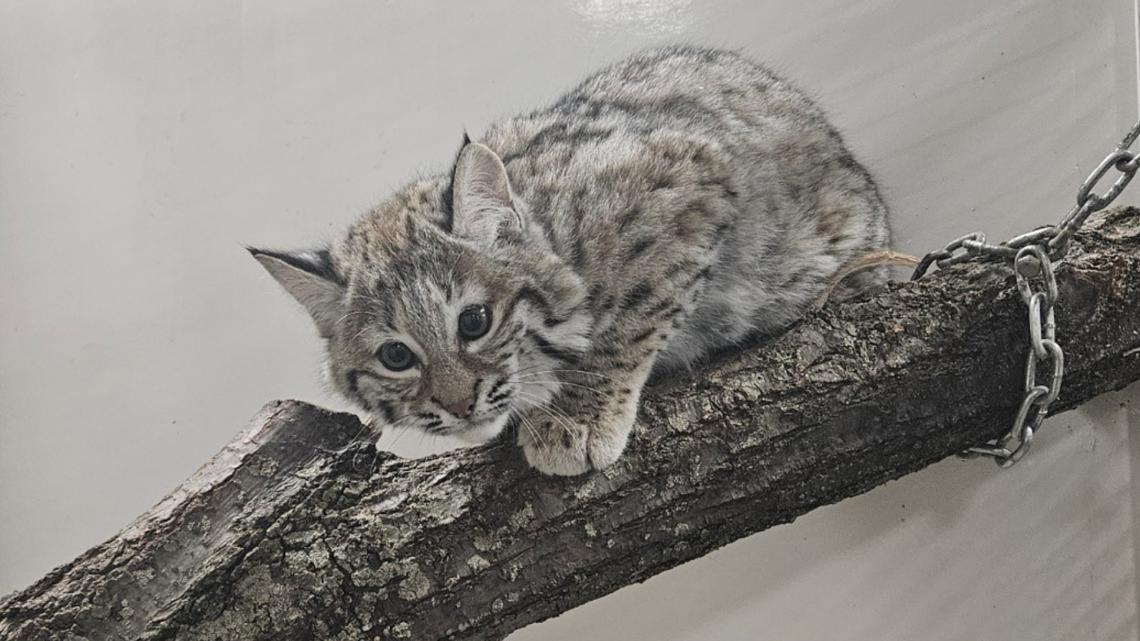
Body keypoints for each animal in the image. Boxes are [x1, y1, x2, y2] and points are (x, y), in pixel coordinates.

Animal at [254, 46, 893, 474]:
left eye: (474, 322)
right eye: (395, 357)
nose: (459, 407)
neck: (553, 234)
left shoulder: (689, 170)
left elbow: (630, 316)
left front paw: (575, 418)